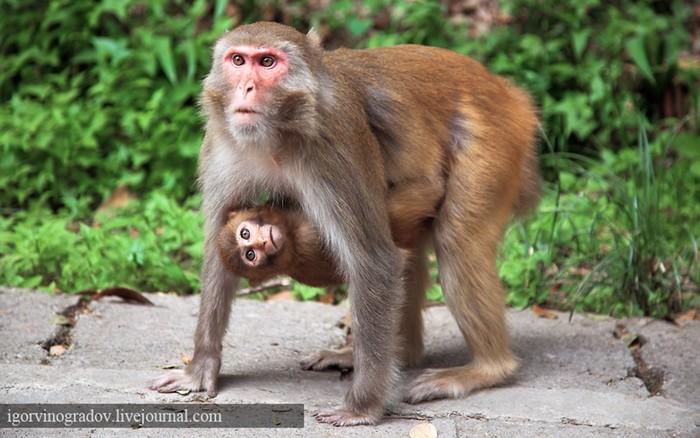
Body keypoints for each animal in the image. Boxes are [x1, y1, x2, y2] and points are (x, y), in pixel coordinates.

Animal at [148, 20, 540, 424]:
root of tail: (508, 93)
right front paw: (199, 369)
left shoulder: (333, 148)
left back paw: (485, 369)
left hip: (493, 145)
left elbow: (374, 260)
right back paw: (397, 353)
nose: (247, 88)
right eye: (238, 60)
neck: (276, 139)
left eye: (268, 62)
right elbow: (217, 255)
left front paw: (361, 408)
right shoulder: (222, 147)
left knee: (455, 242)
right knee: (412, 251)